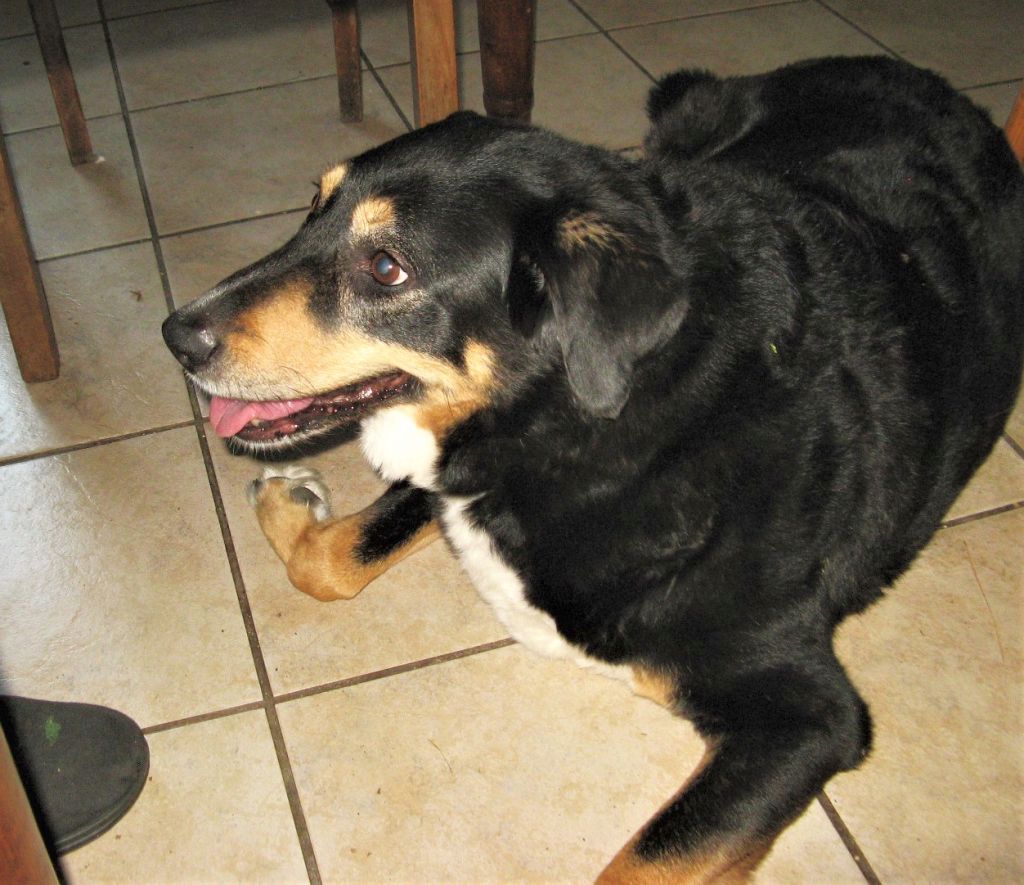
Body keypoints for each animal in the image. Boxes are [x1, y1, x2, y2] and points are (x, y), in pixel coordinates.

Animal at [163, 55, 1024, 881]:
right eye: (314, 207)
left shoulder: (809, 716)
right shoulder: (467, 476)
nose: (177, 336)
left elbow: (649, 859)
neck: (601, 416)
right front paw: (293, 503)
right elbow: (330, 557)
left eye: (385, 267)